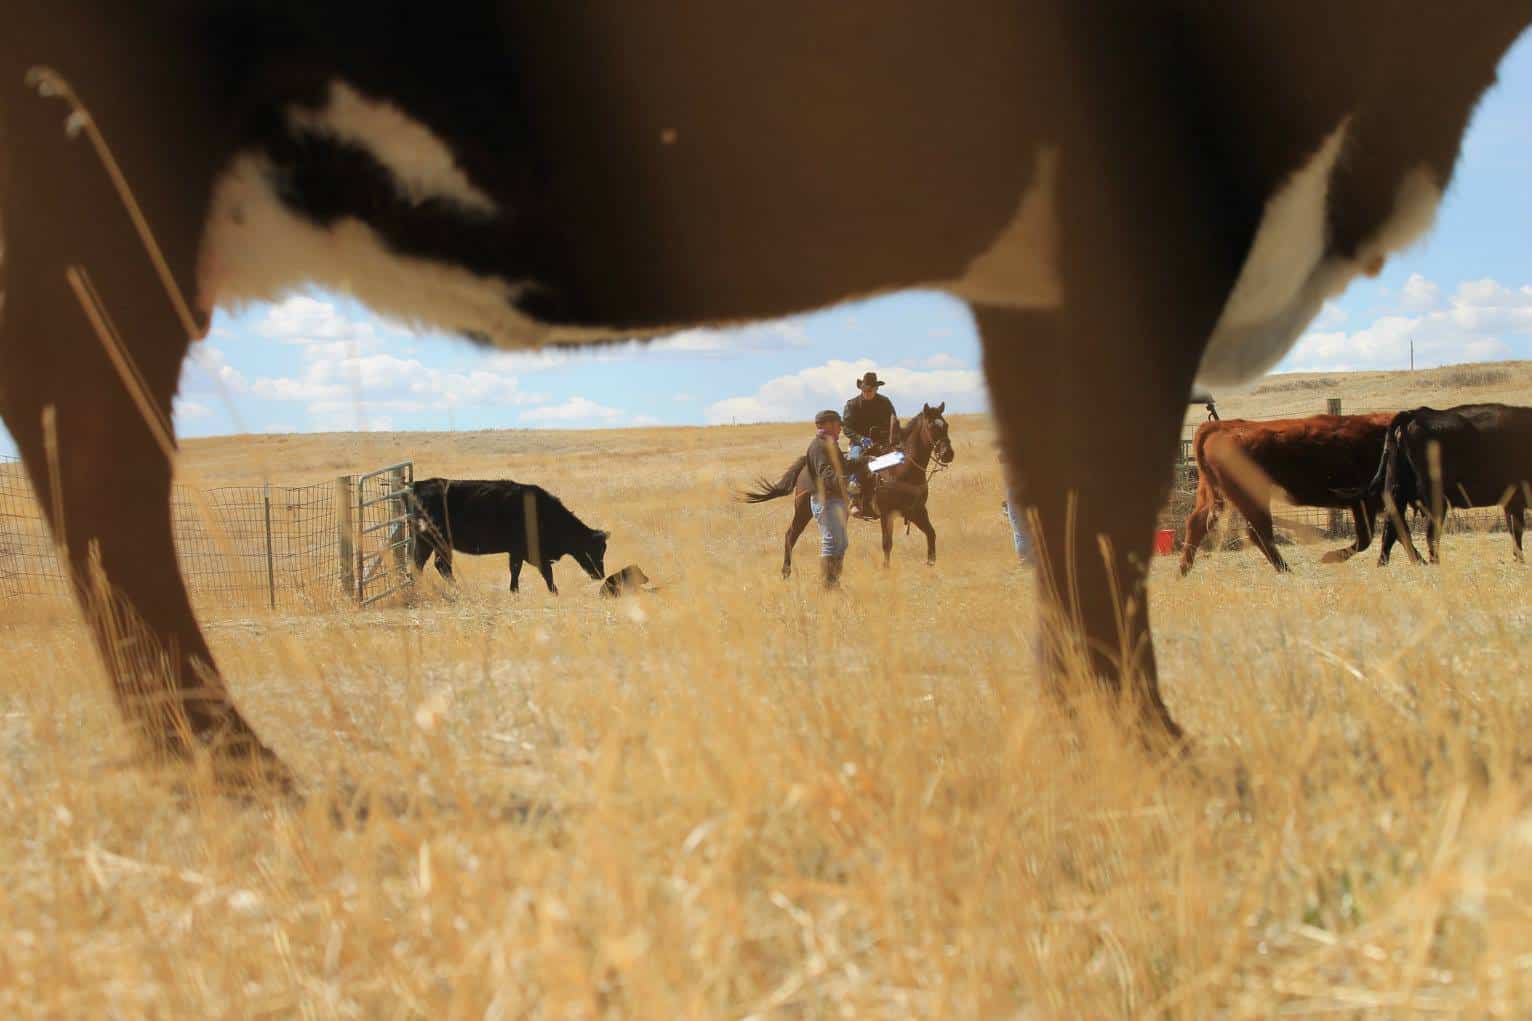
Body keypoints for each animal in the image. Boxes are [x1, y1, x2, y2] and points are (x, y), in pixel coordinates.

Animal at [408, 478, 608, 594]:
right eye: (594, 550)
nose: (601, 575)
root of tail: (416, 485)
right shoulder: (530, 552)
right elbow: (545, 572)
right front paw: (554, 592)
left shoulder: (517, 551)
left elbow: (516, 570)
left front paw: (514, 590)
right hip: (433, 540)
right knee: (433, 564)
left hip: (435, 543)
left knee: (431, 564)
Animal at [742, 403, 955, 576]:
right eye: (932, 426)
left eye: (945, 425)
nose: (948, 454)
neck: (900, 469)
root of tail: (805, 464)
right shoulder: (886, 514)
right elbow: (887, 544)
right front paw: (886, 571)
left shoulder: (917, 511)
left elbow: (931, 534)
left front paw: (930, 564)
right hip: (802, 509)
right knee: (790, 535)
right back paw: (786, 572)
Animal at [1179, 412, 1394, 574]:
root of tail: (1220, 426)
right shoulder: (1364, 502)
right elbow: (1367, 537)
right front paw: (1330, 557)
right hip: (1252, 499)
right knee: (1259, 533)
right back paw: (1287, 571)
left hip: (1215, 495)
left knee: (1198, 523)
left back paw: (1183, 571)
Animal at [1343, 404, 1532, 565]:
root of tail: (1413, 414)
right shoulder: (1515, 500)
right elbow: (1516, 529)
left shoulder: (1511, 502)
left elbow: (1514, 530)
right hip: (1435, 500)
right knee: (1429, 533)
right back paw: (1433, 563)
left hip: (1397, 491)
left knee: (1393, 527)